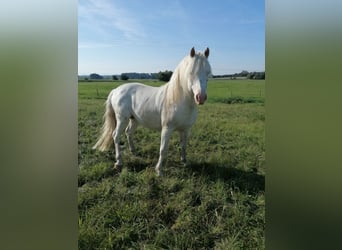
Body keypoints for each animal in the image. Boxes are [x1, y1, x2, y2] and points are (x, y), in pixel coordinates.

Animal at [93, 47, 211, 176]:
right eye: (190, 72)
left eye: (208, 73)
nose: (201, 97)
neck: (178, 100)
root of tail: (116, 90)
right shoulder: (167, 128)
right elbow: (163, 149)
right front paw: (159, 170)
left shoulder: (186, 129)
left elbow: (183, 146)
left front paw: (185, 162)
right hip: (121, 119)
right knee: (116, 136)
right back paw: (119, 162)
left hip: (134, 119)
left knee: (129, 132)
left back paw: (134, 152)